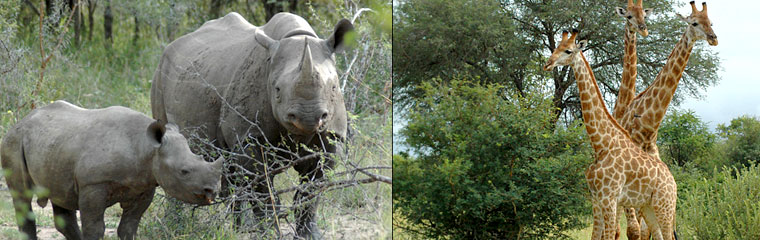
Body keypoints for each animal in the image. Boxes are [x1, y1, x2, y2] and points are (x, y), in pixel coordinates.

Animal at [540, 29, 676, 240]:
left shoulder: (610, 198)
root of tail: (673, 182)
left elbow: (610, 235)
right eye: (556, 48)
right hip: (648, 207)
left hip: (665, 206)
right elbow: (595, 236)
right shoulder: (596, 198)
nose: (547, 64)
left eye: (568, 51)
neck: (601, 143)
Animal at [616, 1, 720, 238]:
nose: (713, 38)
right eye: (694, 23)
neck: (648, 127)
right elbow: (634, 230)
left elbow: (650, 231)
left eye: (711, 22)